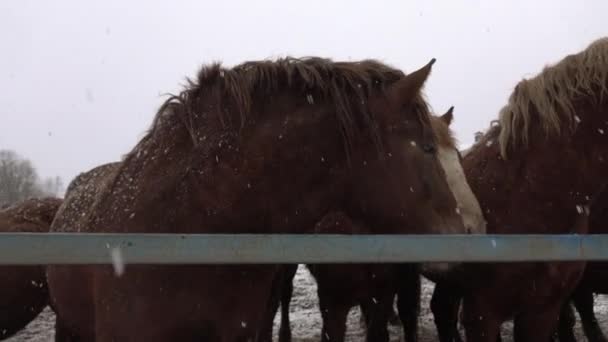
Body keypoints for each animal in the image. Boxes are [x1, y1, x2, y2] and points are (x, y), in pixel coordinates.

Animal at [260, 108, 484, 342]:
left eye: (458, 156)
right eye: (429, 153)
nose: (472, 229)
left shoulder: (384, 290)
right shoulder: (333, 301)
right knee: (282, 295)